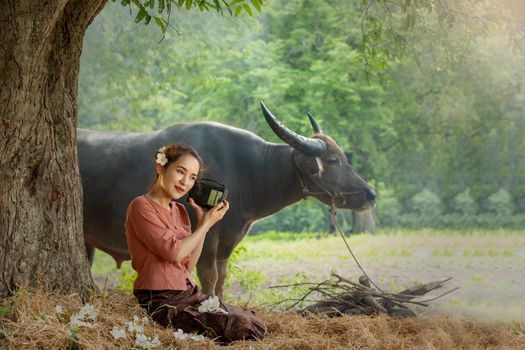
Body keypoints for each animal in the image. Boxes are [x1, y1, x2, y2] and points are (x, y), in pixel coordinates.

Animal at [78, 101, 374, 296]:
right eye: (333, 161)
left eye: (344, 157)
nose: (370, 195)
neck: (248, 171)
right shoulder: (206, 238)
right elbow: (208, 277)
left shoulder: (228, 241)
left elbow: (221, 278)